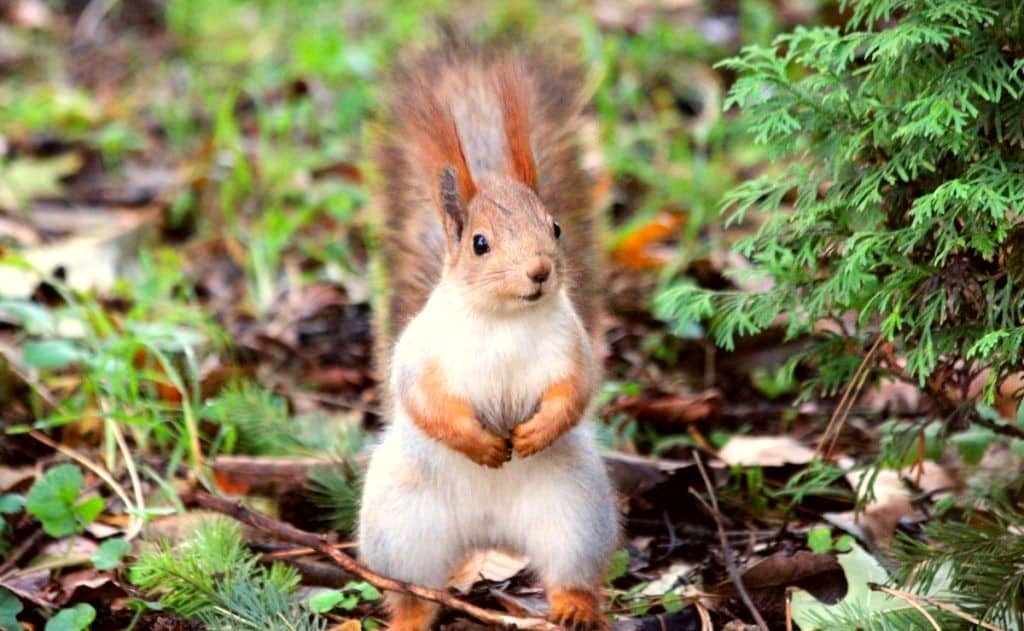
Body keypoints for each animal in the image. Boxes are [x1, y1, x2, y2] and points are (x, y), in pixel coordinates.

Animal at [360, 40, 614, 631]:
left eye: (555, 227)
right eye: (480, 244)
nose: (540, 271)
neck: (504, 320)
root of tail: (490, 532)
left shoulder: (572, 349)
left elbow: (574, 392)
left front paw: (536, 434)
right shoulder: (423, 355)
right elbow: (424, 400)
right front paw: (479, 443)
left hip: (575, 515)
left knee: (570, 572)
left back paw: (574, 608)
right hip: (400, 525)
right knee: (411, 591)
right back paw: (408, 618)